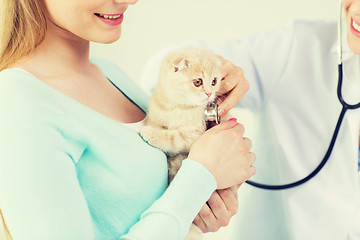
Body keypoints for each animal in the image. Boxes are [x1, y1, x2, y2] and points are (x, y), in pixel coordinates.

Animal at [140, 47, 222, 240]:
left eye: (214, 81)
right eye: (198, 82)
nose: (209, 93)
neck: (175, 107)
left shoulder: (193, 134)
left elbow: (173, 137)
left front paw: (151, 134)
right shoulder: (155, 115)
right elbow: (157, 125)